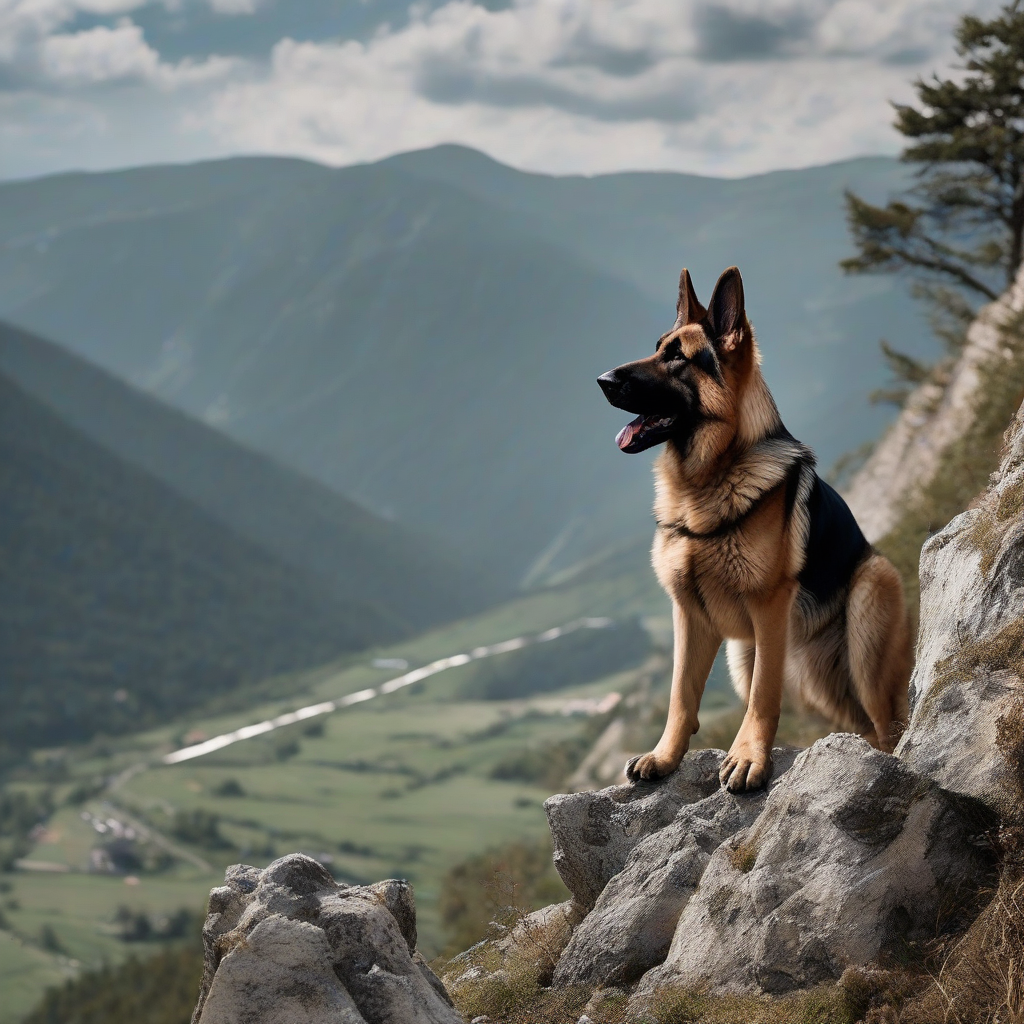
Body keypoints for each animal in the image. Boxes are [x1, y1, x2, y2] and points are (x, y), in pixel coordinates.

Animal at [598, 264, 909, 790]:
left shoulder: (767, 607)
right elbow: (680, 695)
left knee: (888, 724)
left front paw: (749, 759)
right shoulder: (689, 614)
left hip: (867, 614)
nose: (601, 380)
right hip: (750, 659)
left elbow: (764, 697)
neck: (707, 483)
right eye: (656, 347)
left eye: (677, 358)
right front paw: (665, 756)